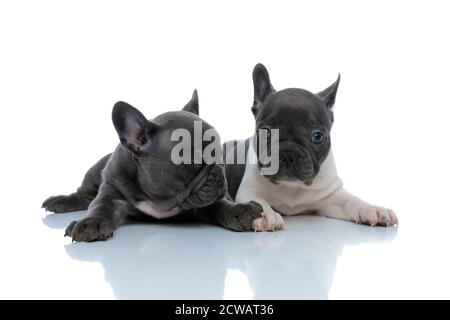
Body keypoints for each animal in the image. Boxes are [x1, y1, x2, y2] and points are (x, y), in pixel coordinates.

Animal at [43, 91, 262, 241]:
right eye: (193, 160)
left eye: (220, 154)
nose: (218, 175)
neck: (160, 199)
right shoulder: (112, 190)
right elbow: (99, 206)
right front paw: (90, 223)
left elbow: (221, 205)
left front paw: (240, 210)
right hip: (95, 172)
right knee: (84, 196)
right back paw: (60, 200)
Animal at [225, 63, 398, 231]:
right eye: (265, 132)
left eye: (317, 137)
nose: (288, 154)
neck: (291, 188)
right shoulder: (249, 189)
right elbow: (259, 200)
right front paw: (266, 215)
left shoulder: (331, 196)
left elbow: (352, 200)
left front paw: (374, 209)